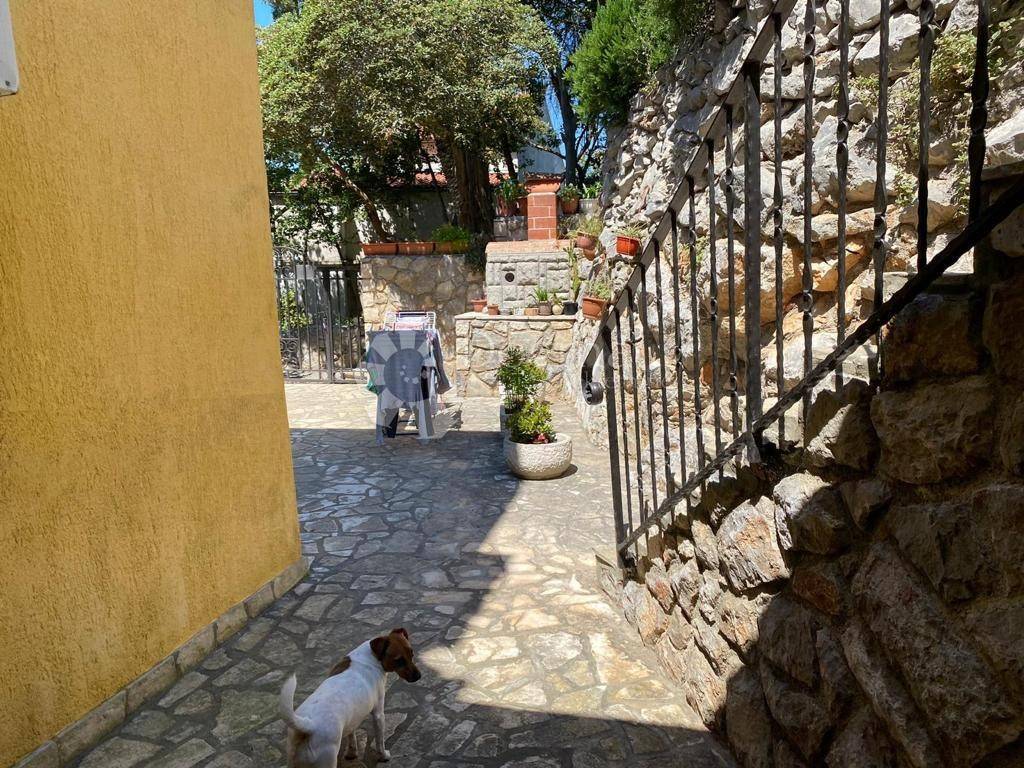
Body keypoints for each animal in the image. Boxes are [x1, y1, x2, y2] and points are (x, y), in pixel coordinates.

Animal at [279, 628, 421, 767]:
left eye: (412, 654)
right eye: (399, 660)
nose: (419, 676)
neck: (371, 657)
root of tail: (309, 725)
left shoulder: (352, 720)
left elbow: (351, 737)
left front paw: (352, 753)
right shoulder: (378, 714)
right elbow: (380, 741)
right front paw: (384, 756)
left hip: (292, 759)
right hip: (327, 761)